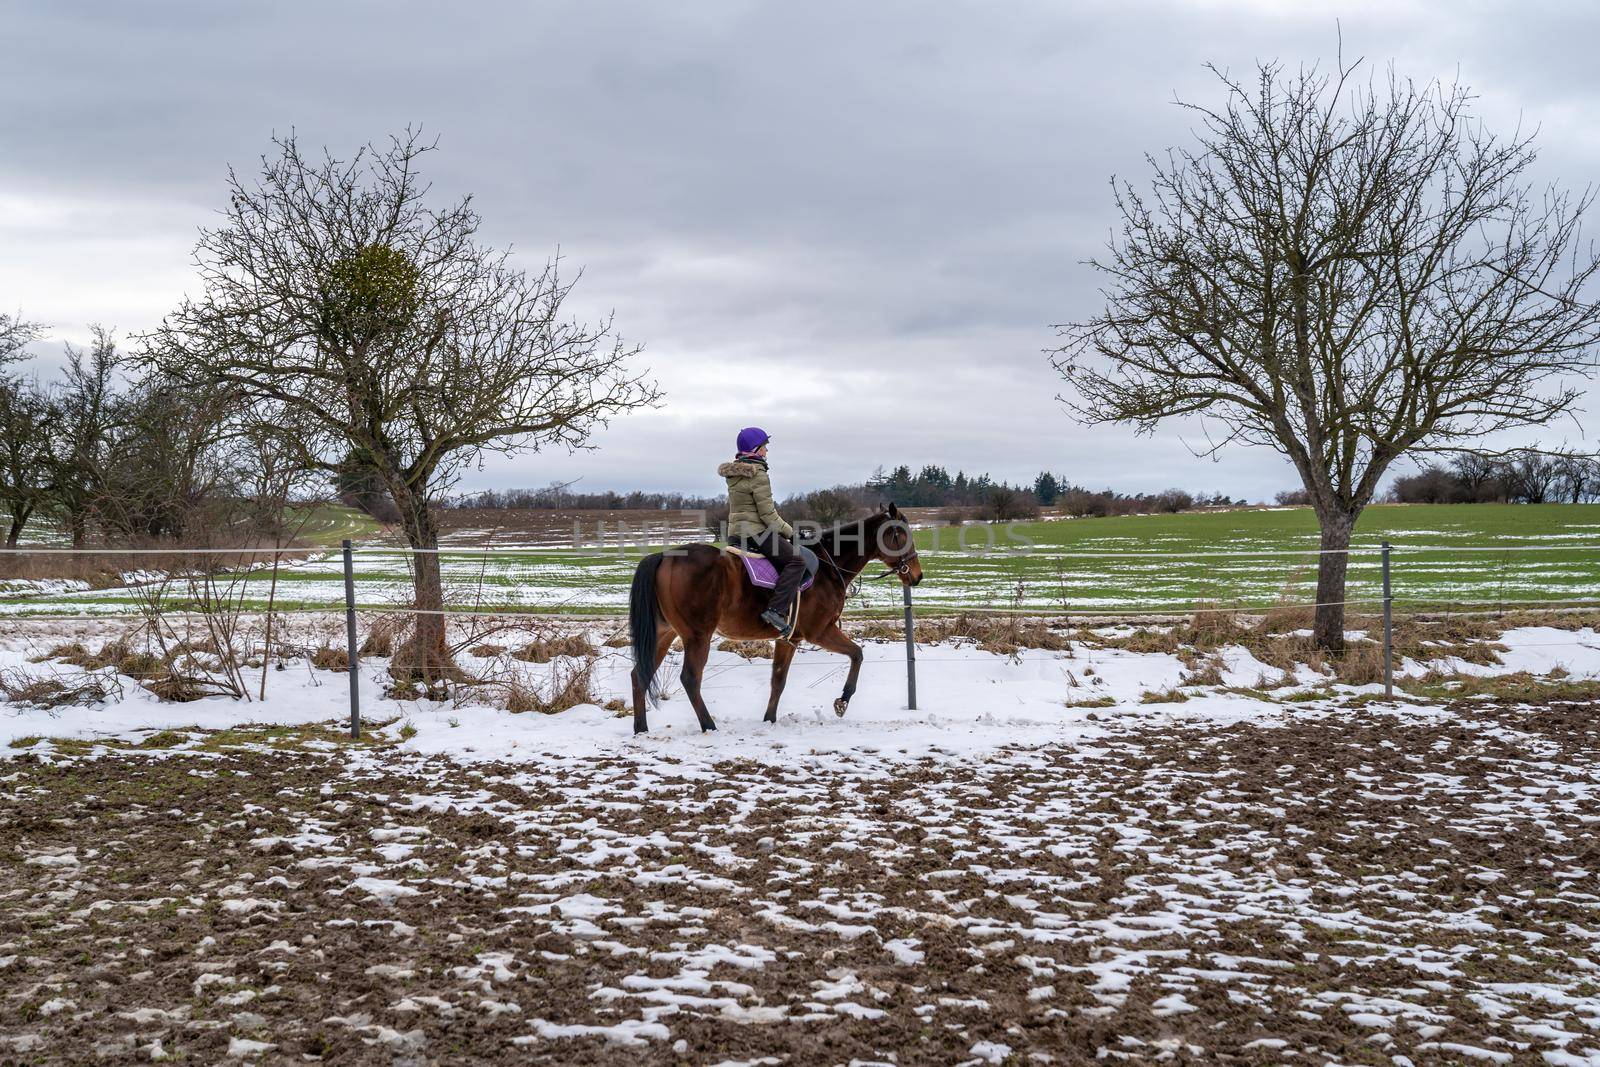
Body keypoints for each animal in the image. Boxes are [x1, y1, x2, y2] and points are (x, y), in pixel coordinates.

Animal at [624, 508, 928, 735]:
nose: (916, 575)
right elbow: (857, 654)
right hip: (698, 636)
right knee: (690, 678)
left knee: (640, 674)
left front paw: (769, 719)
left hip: (665, 634)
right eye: (901, 534)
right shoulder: (820, 631)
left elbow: (778, 680)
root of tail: (664, 557)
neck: (829, 567)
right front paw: (843, 700)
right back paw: (708, 725)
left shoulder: (789, 639)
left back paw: (641, 728)